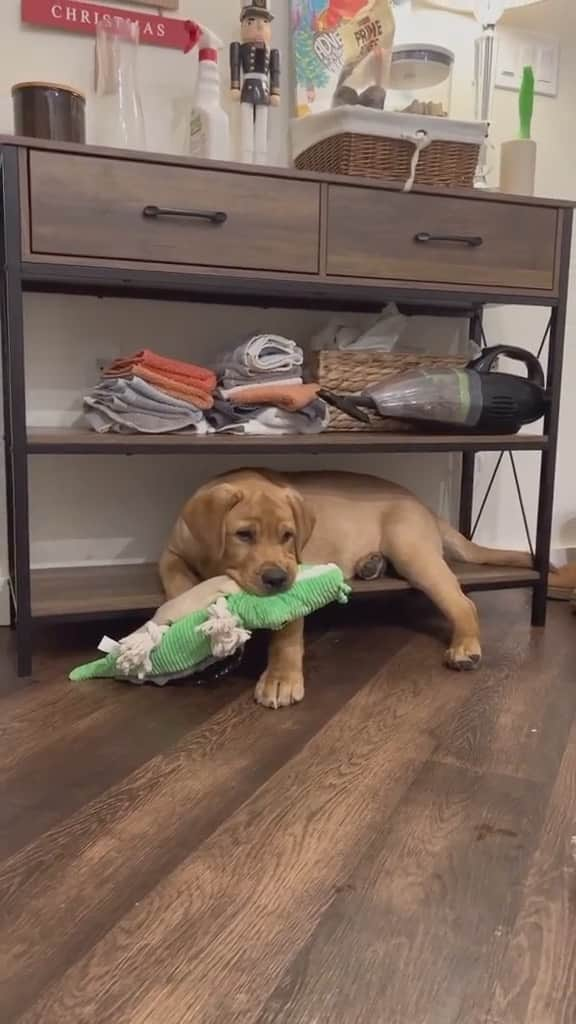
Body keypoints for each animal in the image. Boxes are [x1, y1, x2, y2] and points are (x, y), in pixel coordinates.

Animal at [158, 468, 532, 708]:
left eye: (288, 535)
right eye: (244, 535)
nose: (278, 579)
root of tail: (425, 506)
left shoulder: (298, 569)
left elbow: (288, 634)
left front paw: (281, 679)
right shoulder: (172, 553)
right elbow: (177, 581)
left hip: (412, 550)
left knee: (463, 603)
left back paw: (465, 647)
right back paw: (371, 565)